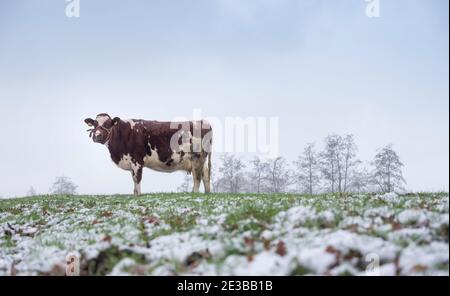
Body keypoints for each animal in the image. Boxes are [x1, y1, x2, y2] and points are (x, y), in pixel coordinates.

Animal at [85, 112, 213, 194]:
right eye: (95, 124)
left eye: (107, 124)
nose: (97, 136)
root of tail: (203, 122)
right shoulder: (131, 162)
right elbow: (134, 180)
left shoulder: (137, 161)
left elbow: (137, 179)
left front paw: (138, 196)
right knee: (205, 175)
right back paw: (207, 194)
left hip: (197, 157)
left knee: (197, 177)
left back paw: (194, 194)